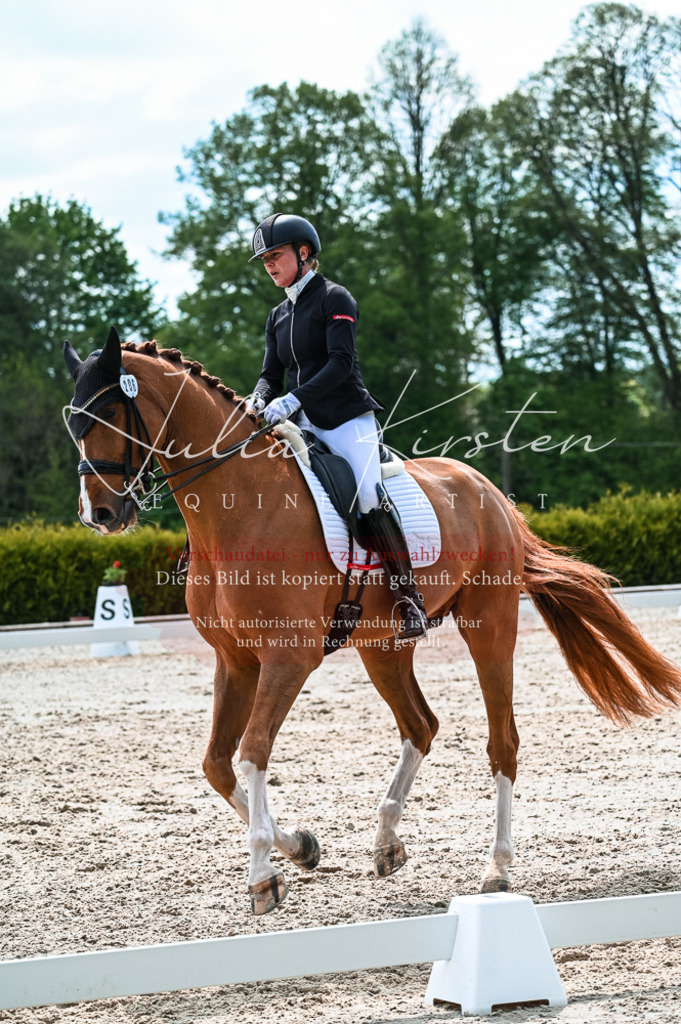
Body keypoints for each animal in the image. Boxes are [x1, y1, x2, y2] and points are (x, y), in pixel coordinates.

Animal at [64, 328, 681, 915]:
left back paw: (497, 869)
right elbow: (218, 764)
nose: (100, 514)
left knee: (501, 742)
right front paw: (300, 848)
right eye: (74, 421)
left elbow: (253, 750)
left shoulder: (288, 658)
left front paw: (263, 876)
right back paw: (387, 842)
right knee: (420, 725)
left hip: (489, 627)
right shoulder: (235, 660)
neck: (238, 506)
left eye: (109, 413)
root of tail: (488, 490)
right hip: (382, 645)